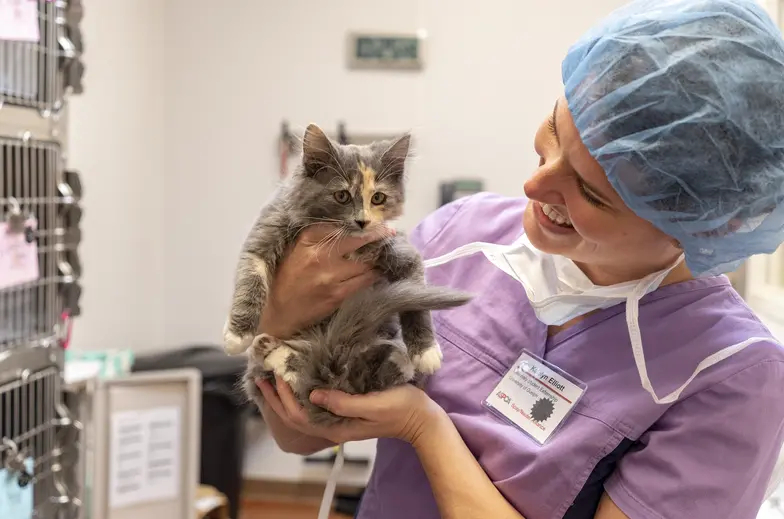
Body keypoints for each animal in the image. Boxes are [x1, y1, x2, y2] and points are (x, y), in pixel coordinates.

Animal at [225, 124, 472, 424]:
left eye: (378, 198)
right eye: (342, 196)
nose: (362, 221)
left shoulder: (401, 251)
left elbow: (416, 302)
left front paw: (425, 352)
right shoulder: (265, 233)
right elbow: (251, 279)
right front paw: (237, 335)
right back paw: (267, 347)